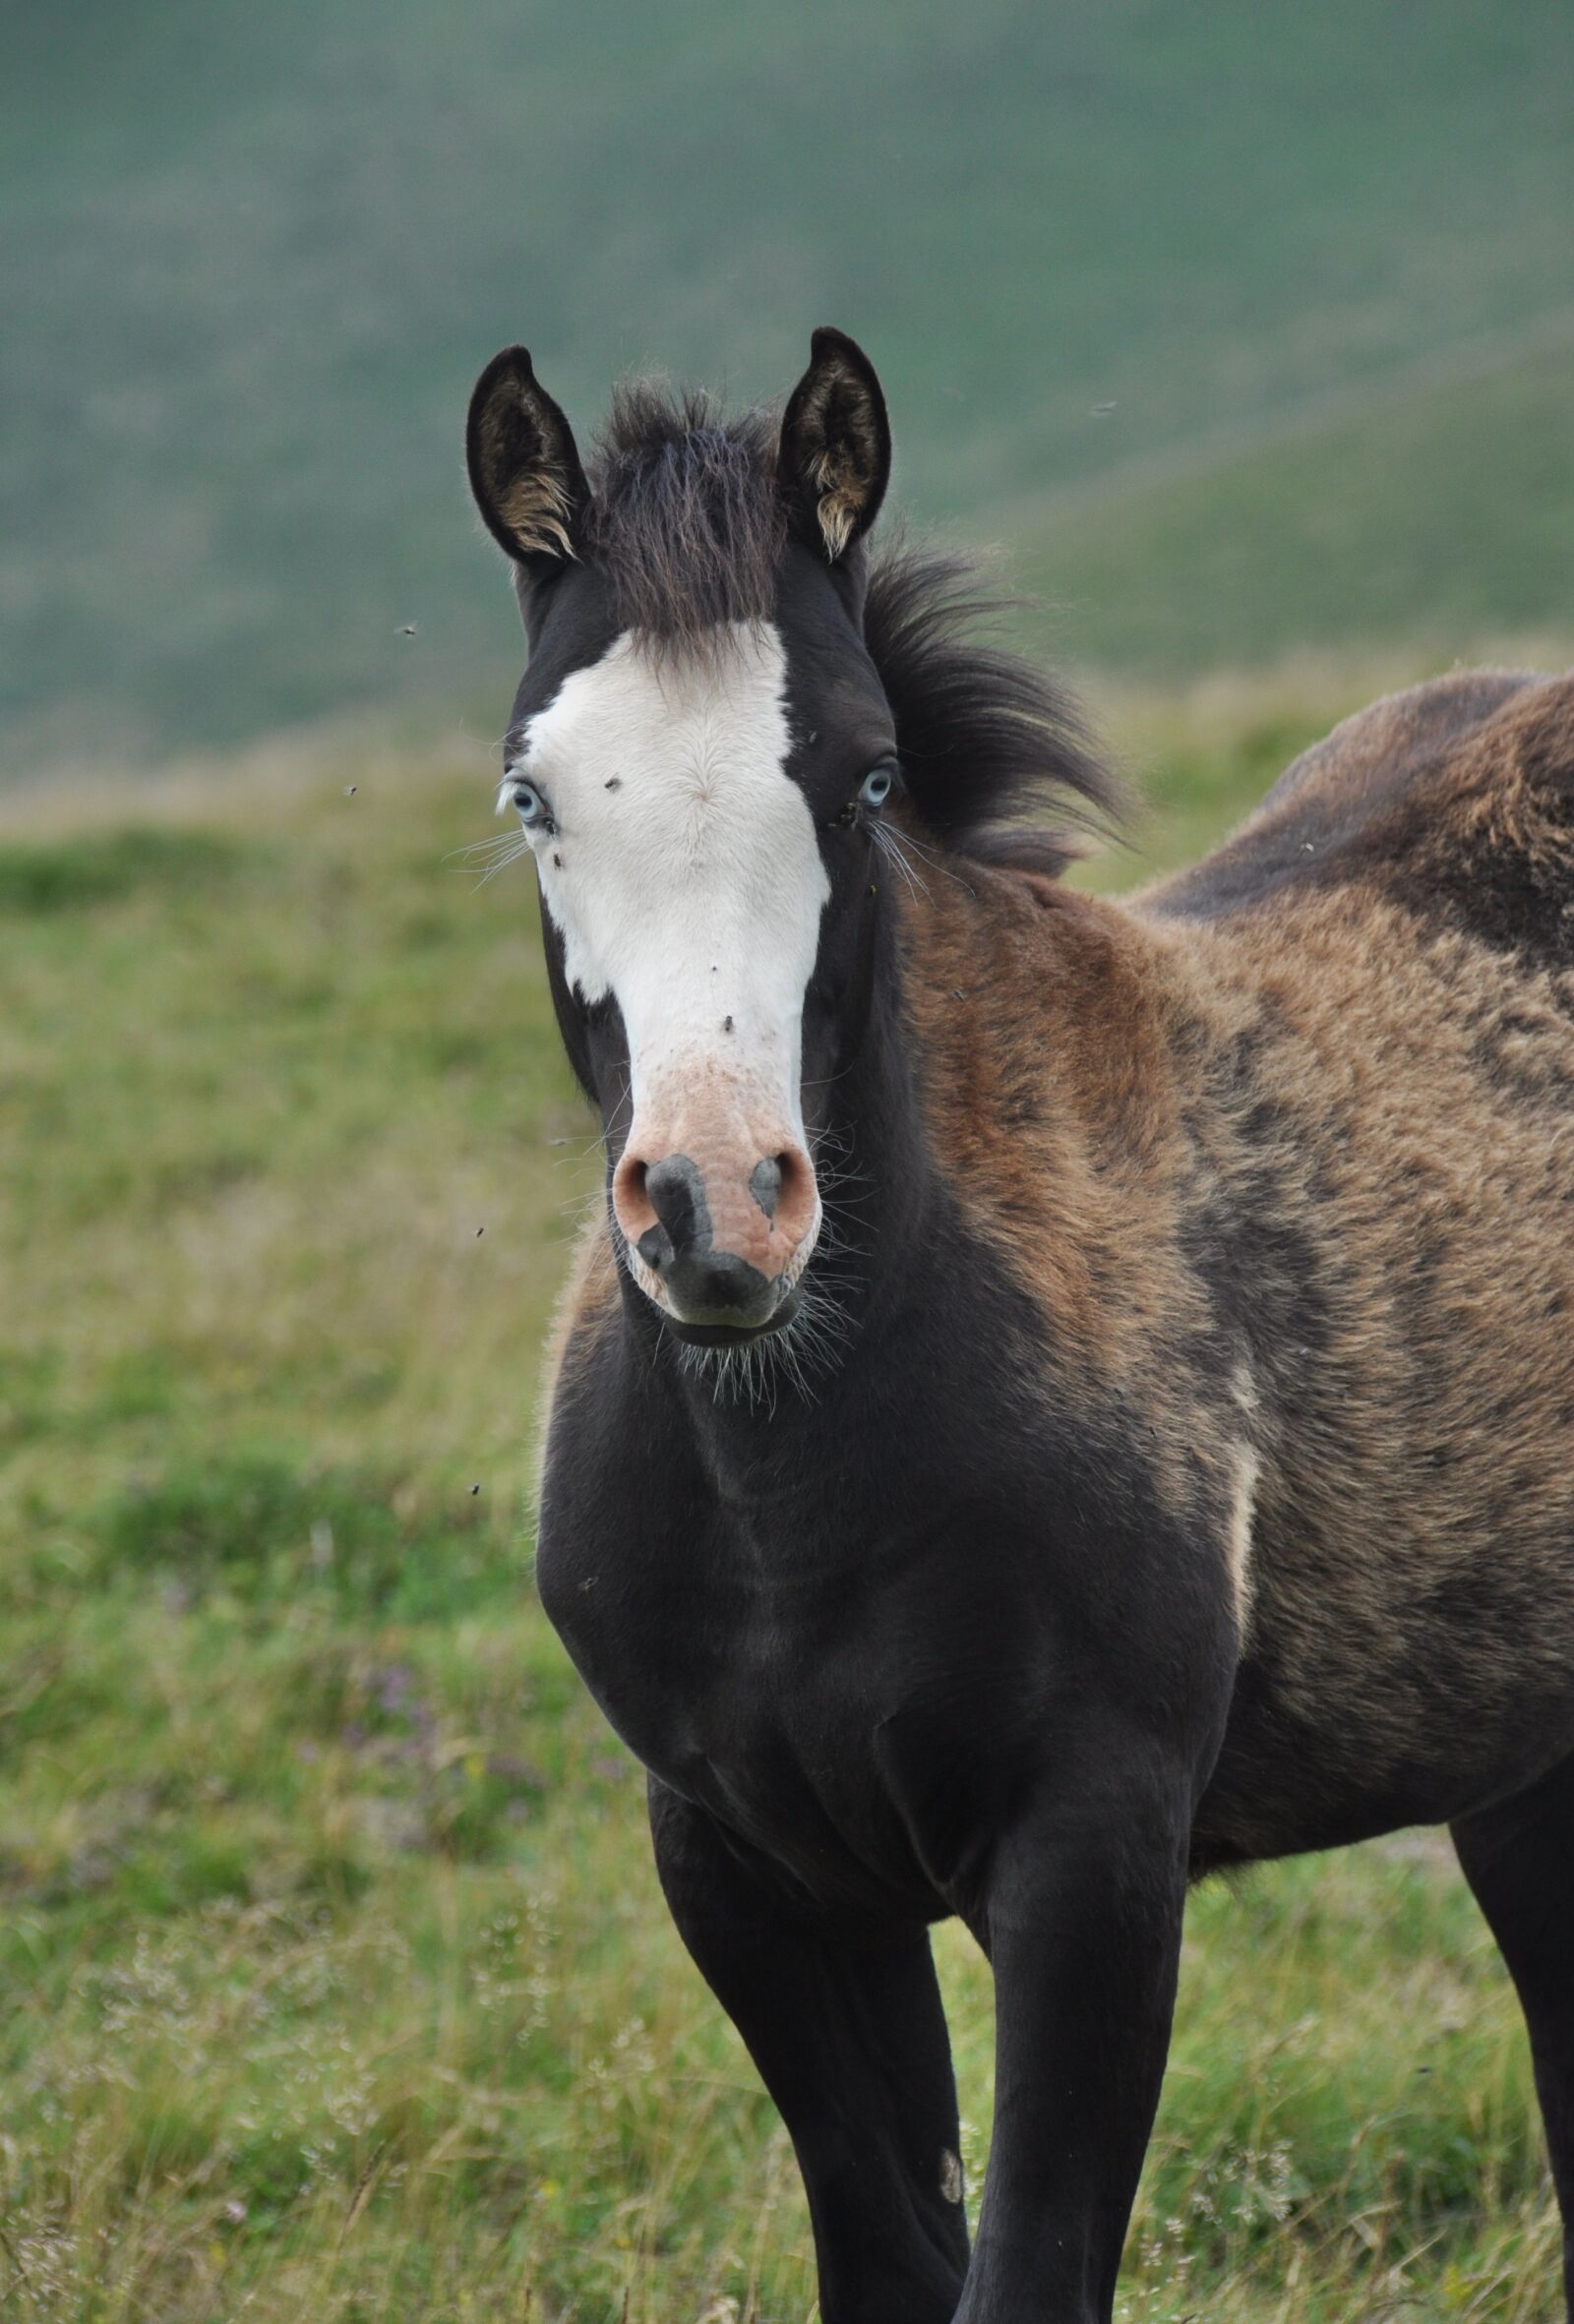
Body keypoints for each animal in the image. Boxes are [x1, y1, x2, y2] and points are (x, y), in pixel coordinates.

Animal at [464, 327, 1574, 2322]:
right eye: (535, 793)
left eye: (867, 775)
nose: (718, 1204)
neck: (792, 1479)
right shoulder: (753, 1873)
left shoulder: (1092, 1860)